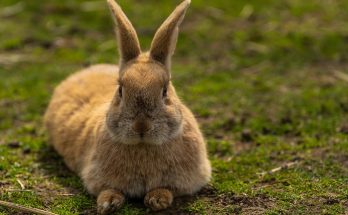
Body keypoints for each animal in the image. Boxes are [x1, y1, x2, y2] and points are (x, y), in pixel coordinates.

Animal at [44, 0, 212, 213]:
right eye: (120, 90)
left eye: (165, 91)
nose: (141, 126)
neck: (143, 145)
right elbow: (108, 189)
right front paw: (108, 203)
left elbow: (168, 189)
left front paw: (157, 199)